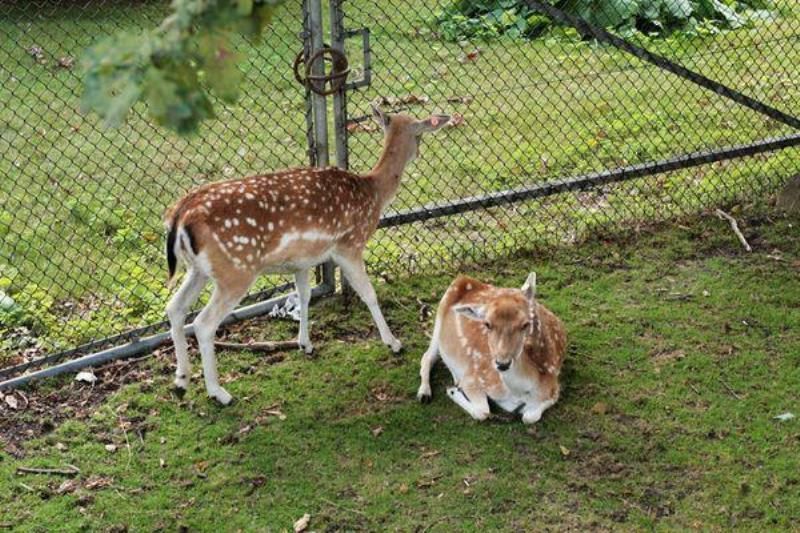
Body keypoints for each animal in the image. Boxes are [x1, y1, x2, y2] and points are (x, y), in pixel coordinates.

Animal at [164, 104, 450, 404]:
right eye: (419, 133)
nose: (418, 154)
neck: (373, 192)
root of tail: (179, 216)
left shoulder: (300, 262)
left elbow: (304, 295)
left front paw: (306, 344)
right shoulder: (349, 244)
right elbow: (369, 294)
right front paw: (393, 342)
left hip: (198, 270)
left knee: (174, 308)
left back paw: (181, 380)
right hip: (236, 270)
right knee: (203, 323)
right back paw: (219, 393)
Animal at [416, 272, 564, 422]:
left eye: (525, 324)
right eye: (487, 324)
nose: (502, 363)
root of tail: (466, 278)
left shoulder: (554, 388)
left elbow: (529, 416)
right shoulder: (472, 378)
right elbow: (483, 411)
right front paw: (453, 390)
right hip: (439, 318)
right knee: (427, 356)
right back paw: (424, 393)